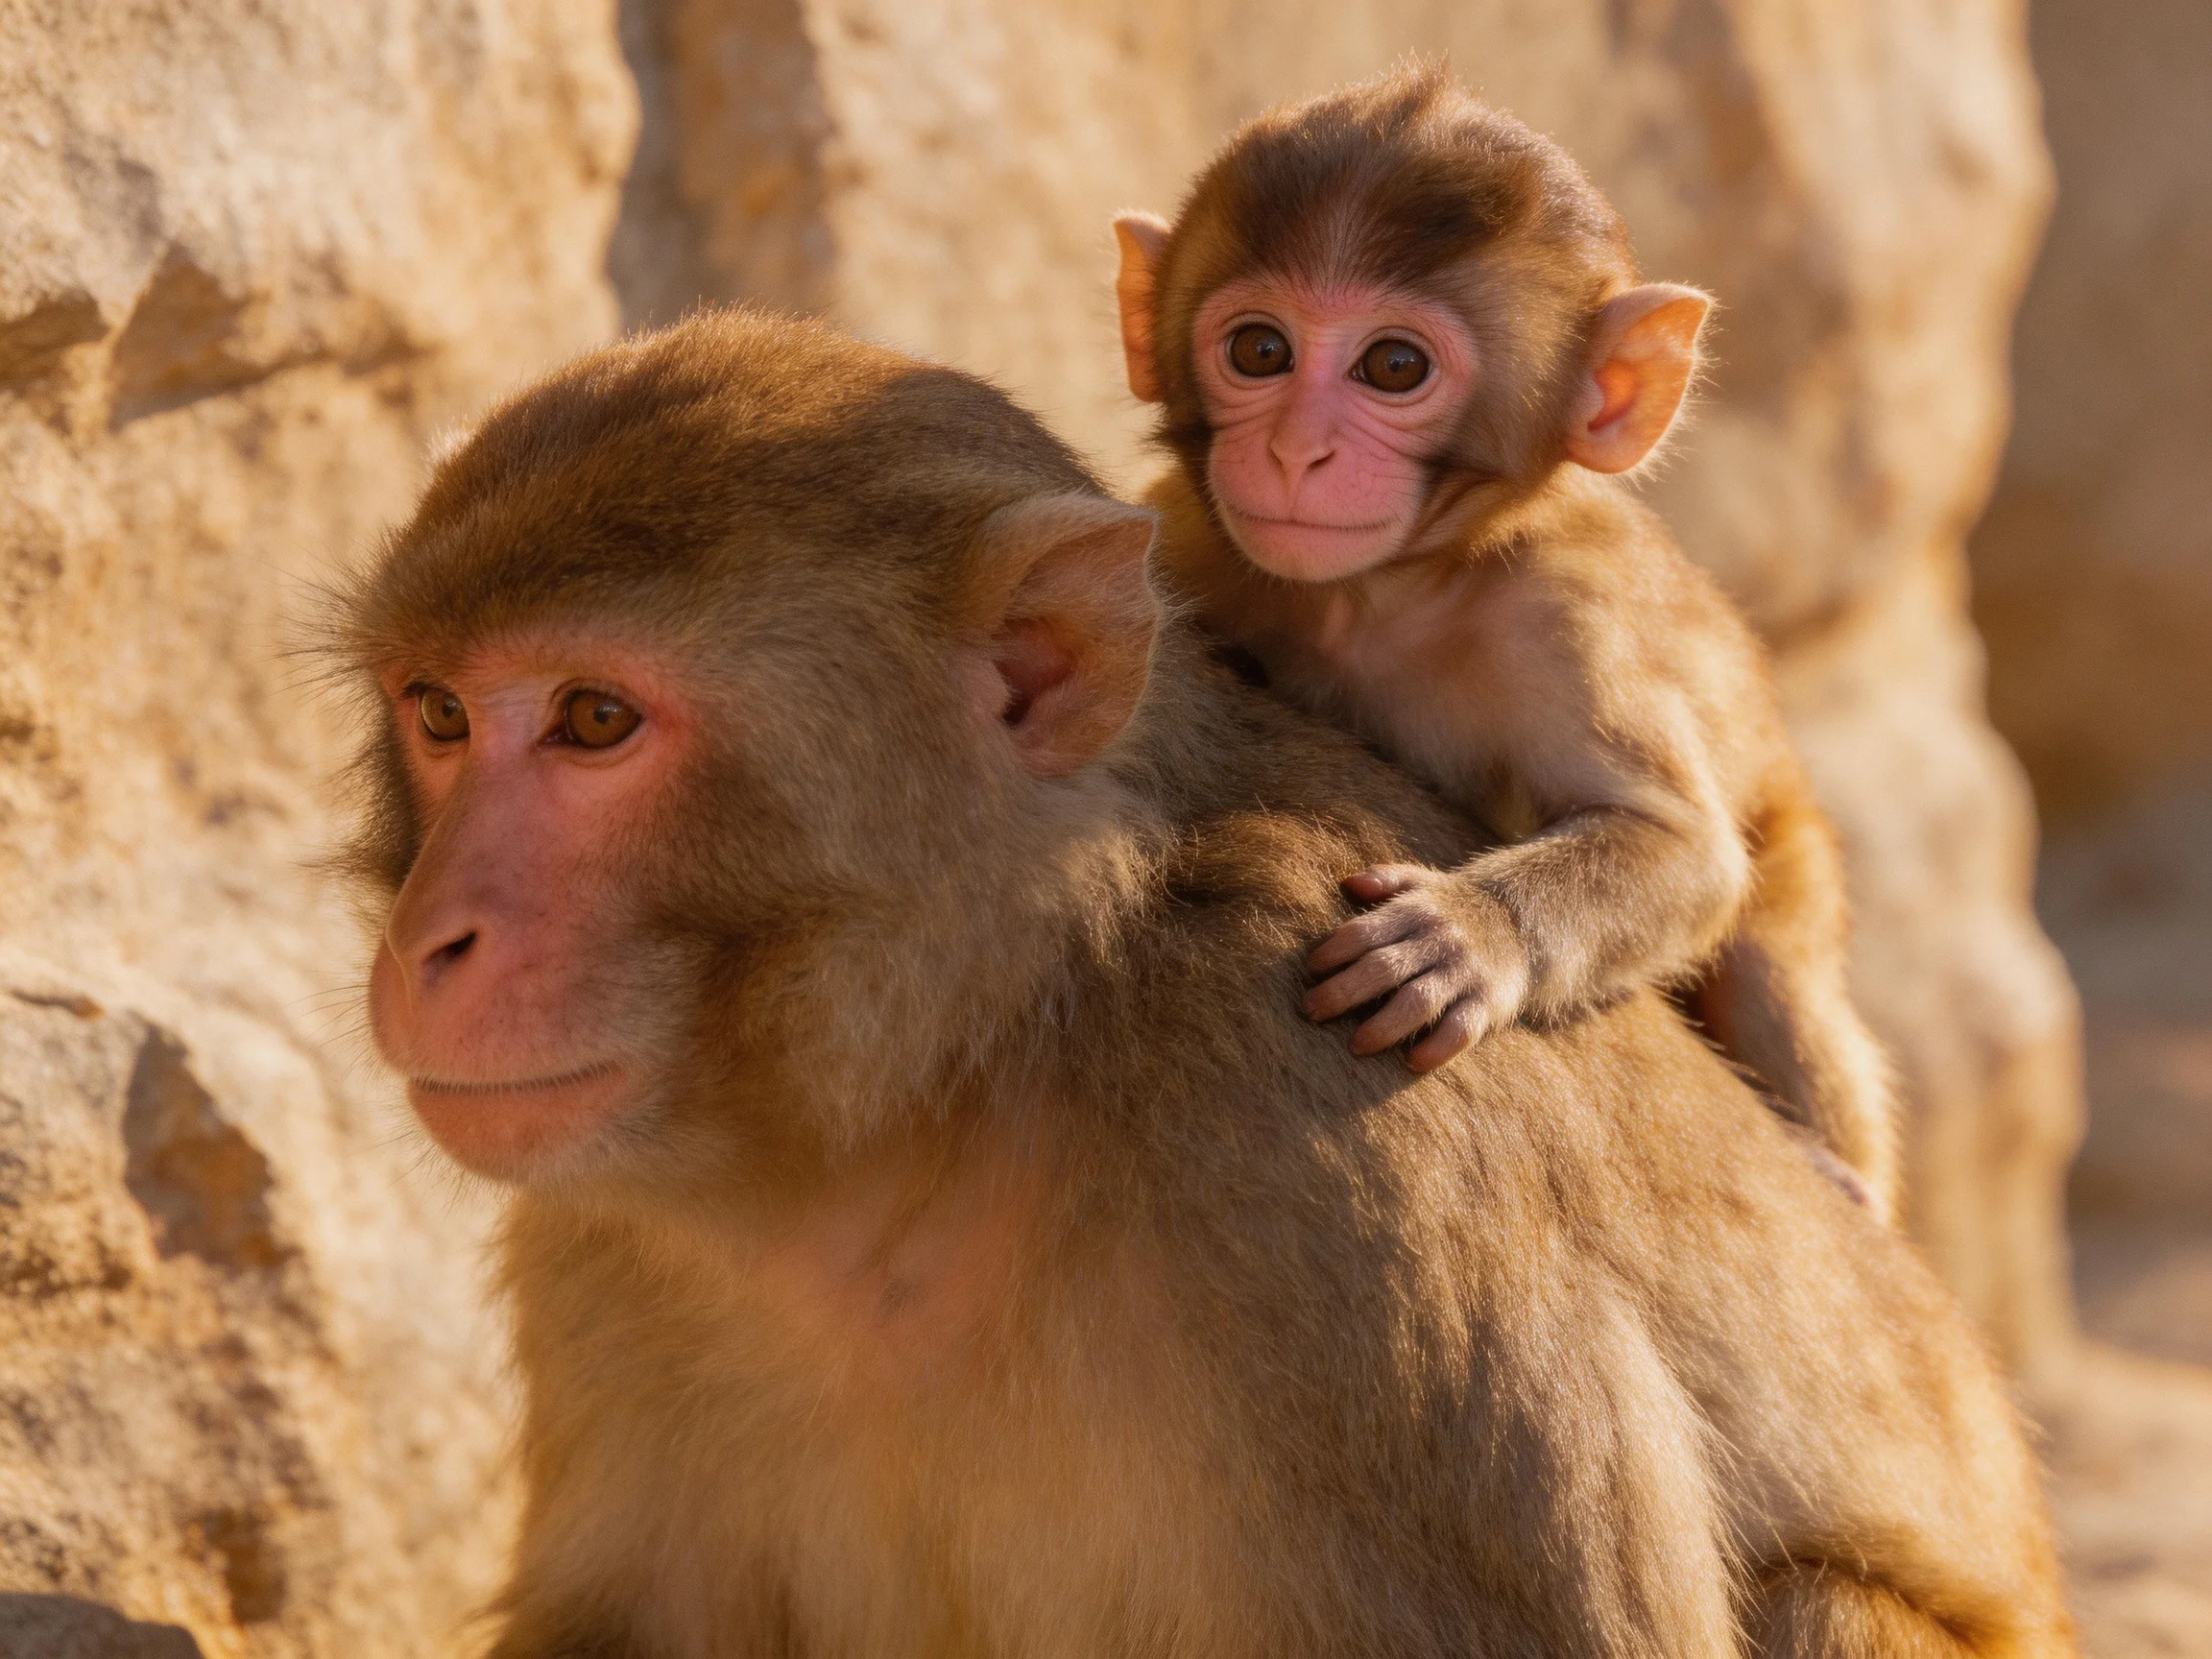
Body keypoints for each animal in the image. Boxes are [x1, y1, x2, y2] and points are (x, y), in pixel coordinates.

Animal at [329, 307, 2070, 1657]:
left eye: (593, 722)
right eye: (438, 712)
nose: (428, 939)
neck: (960, 1076)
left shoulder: (1330, 1151)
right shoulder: (603, 1230)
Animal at [1112, 67, 1901, 1222]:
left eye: (1393, 366)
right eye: (1260, 350)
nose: (1297, 451)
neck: (1377, 595)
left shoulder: (1568, 624)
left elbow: (1684, 850)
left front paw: (1466, 935)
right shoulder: (1186, 533)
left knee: (1771, 958)